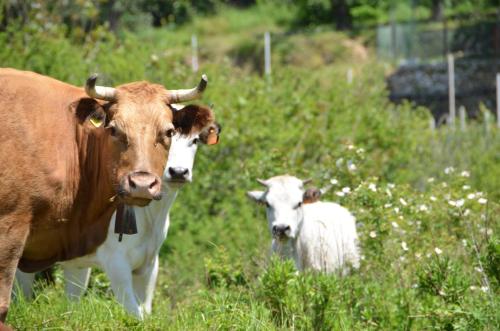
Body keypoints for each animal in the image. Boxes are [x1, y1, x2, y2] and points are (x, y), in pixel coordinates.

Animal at [0, 67, 213, 322]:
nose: (142, 184)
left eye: (170, 131)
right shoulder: (116, 264)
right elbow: (133, 314)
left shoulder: (144, 265)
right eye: (113, 129)